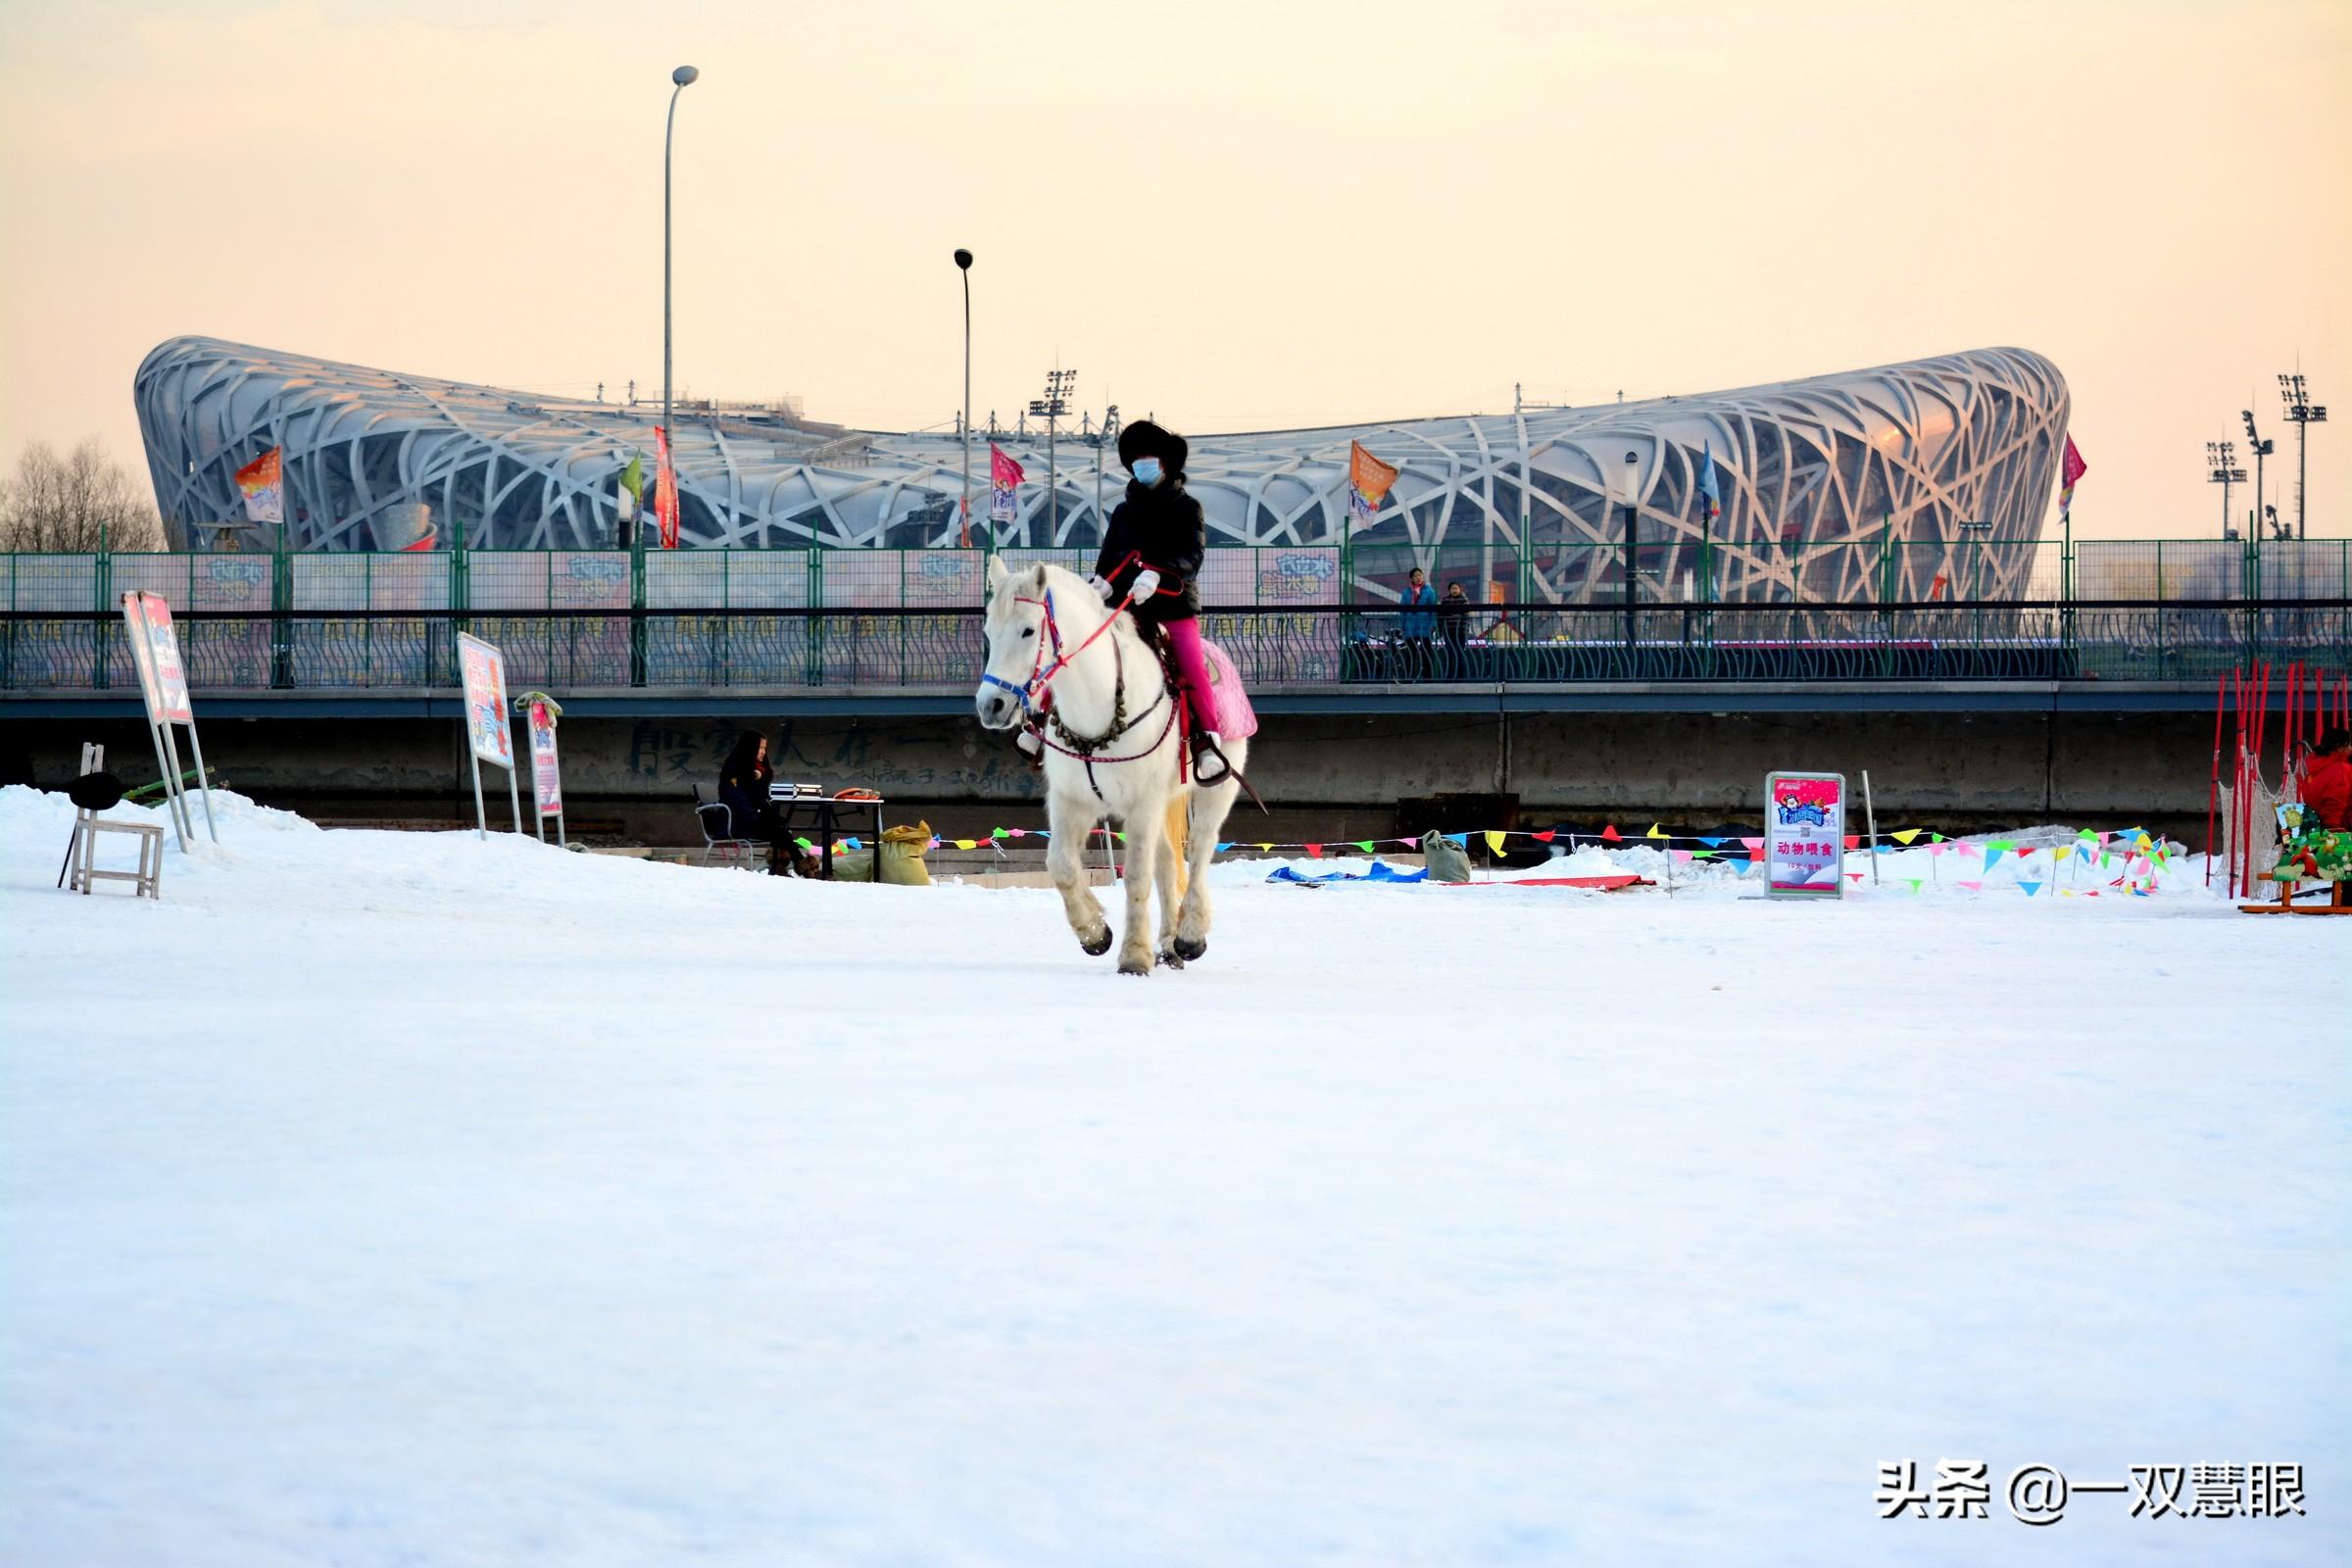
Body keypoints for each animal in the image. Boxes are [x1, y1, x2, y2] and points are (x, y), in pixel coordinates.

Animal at [973, 564, 1250, 973]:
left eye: (1028, 630)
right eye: (989, 632)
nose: (990, 705)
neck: (1096, 704)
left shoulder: (1143, 803)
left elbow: (1136, 876)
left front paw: (1134, 955)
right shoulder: (1070, 800)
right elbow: (1061, 866)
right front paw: (1094, 933)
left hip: (1217, 787)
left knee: (1201, 848)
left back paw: (1189, 936)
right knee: (1168, 860)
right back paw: (1168, 944)